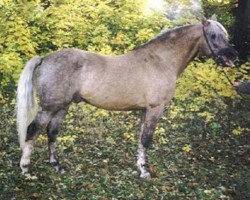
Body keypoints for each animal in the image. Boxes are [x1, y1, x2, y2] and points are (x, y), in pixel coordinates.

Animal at [16, 18, 237, 178]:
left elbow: (141, 139)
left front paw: (140, 166)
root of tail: (45, 58)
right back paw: (26, 171)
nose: (233, 56)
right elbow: (147, 139)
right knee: (32, 131)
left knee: (52, 133)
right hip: (49, 107)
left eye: (225, 35)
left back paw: (57, 166)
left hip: (62, 106)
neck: (161, 61)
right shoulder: (155, 109)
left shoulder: (145, 111)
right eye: (213, 35)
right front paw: (145, 172)